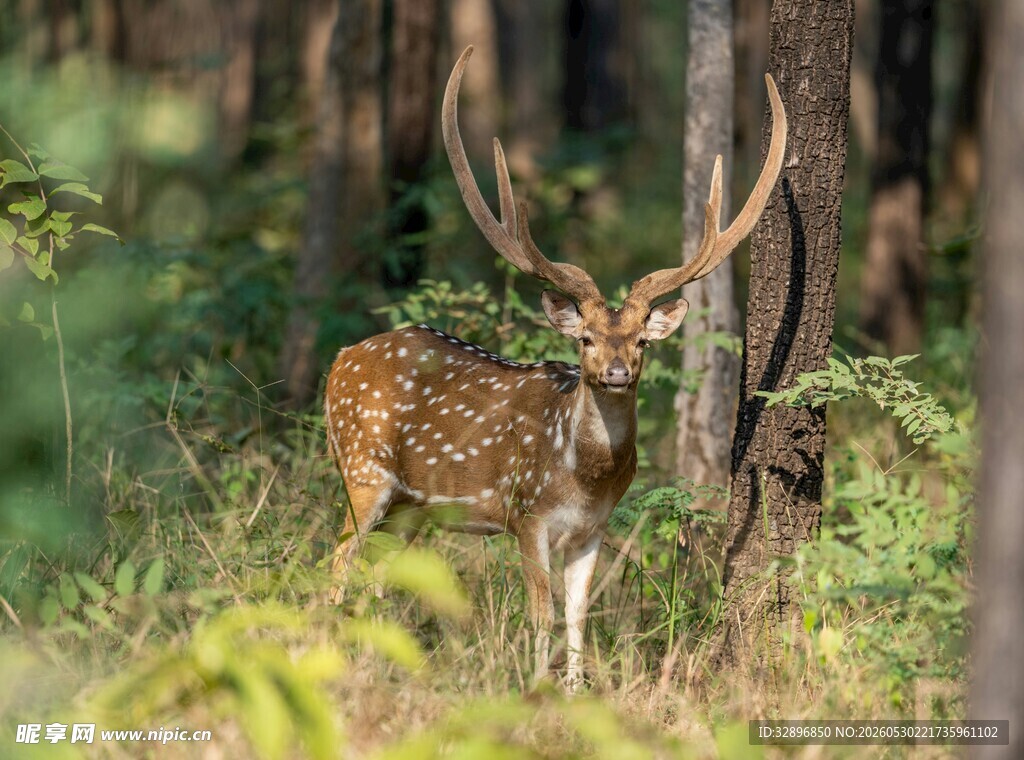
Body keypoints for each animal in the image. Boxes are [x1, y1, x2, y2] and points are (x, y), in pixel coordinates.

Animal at [324, 46, 786, 689]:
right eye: (586, 339)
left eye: (641, 341)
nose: (615, 371)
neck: (581, 475)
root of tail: (340, 359)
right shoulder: (526, 512)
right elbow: (539, 613)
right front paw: (532, 687)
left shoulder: (593, 529)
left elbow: (577, 615)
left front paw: (573, 690)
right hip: (362, 469)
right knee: (336, 561)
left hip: (410, 509)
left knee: (374, 576)